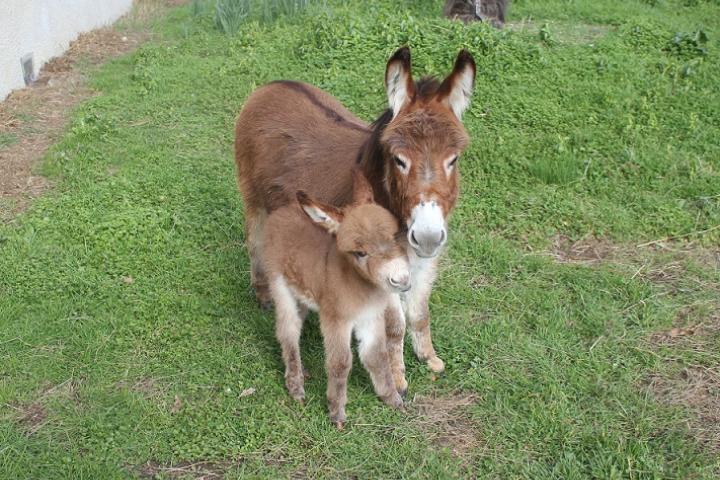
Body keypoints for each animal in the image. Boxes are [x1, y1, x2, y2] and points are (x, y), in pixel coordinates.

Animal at [262, 172, 410, 428]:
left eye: (394, 236)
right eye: (360, 253)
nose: (400, 279)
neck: (360, 287)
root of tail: (282, 212)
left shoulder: (371, 317)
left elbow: (376, 356)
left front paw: (392, 399)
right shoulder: (335, 319)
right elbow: (340, 362)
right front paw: (337, 412)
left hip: (303, 293)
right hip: (280, 286)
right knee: (288, 331)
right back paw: (296, 385)